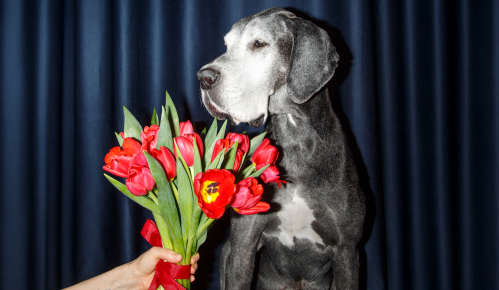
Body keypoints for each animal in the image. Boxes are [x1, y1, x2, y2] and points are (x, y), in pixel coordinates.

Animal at [197, 7, 366, 288]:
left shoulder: (347, 252)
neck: (294, 138)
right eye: (227, 46)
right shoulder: (242, 245)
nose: (203, 78)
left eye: (259, 43)